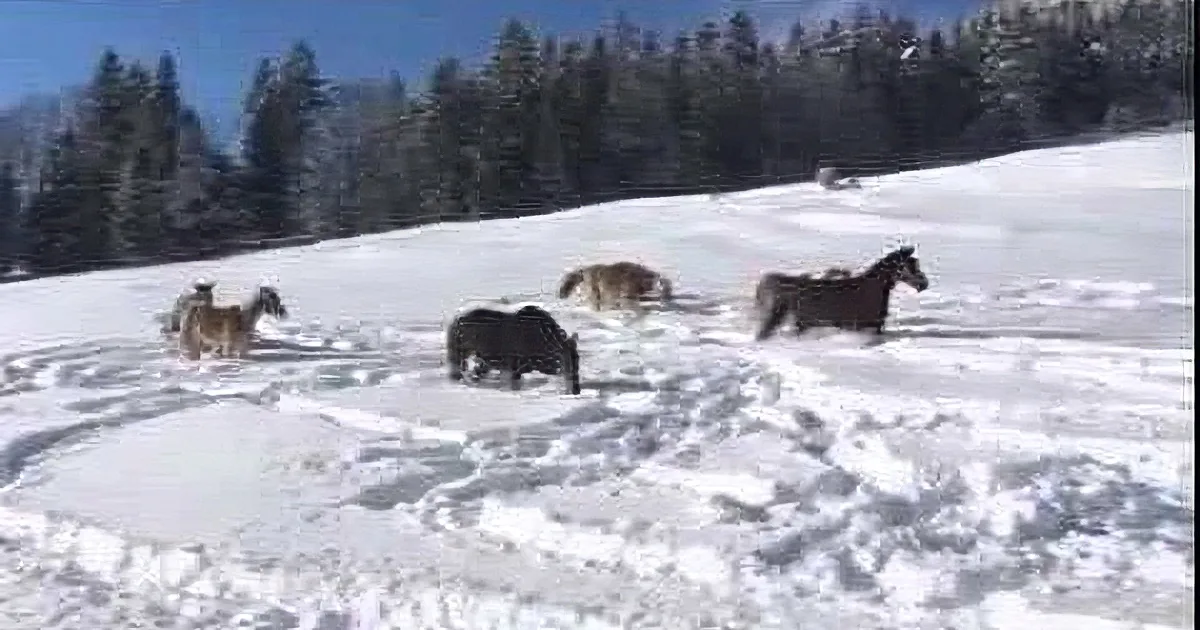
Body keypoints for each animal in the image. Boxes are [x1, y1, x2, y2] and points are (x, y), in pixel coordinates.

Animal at [446, 303, 582, 395]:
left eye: (578, 361)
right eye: (567, 363)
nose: (576, 390)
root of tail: (455, 322)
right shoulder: (513, 364)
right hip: (460, 352)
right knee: (457, 369)